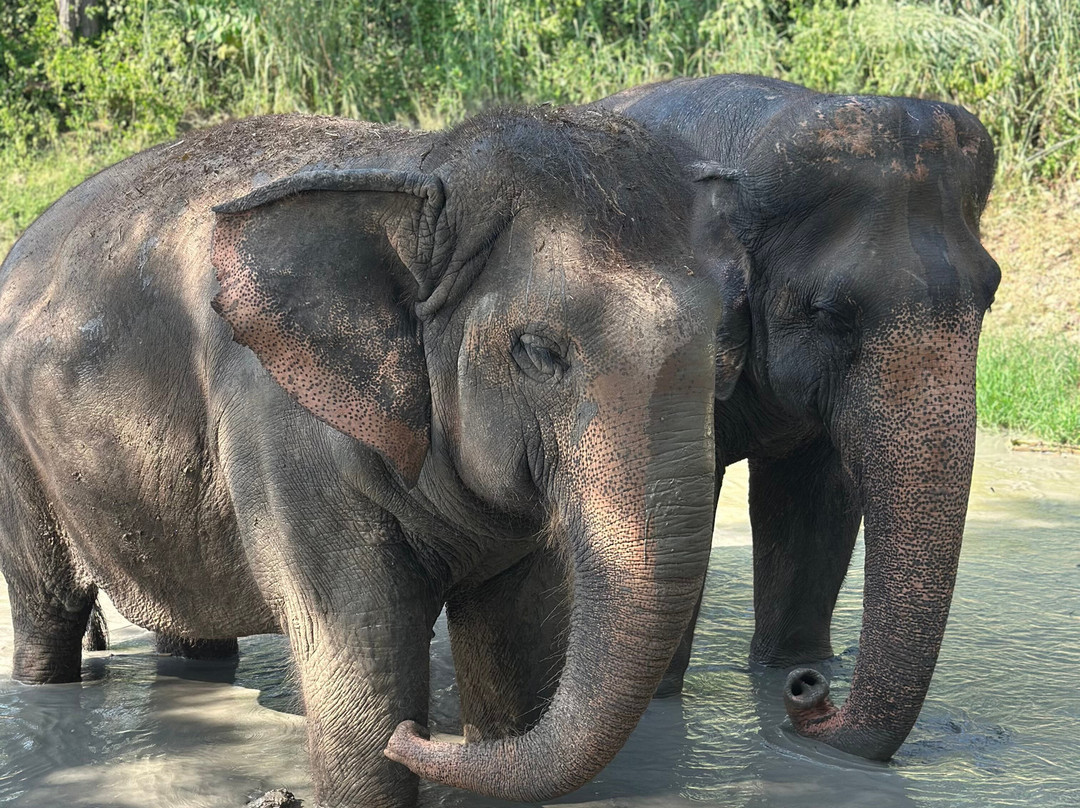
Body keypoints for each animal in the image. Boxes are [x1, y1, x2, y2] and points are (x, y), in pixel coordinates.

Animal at [0, 107, 746, 806]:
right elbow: (359, 640)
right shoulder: (282, 432)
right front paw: (383, 743)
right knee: (48, 607)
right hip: (17, 449)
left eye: (718, 341)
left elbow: (515, 639)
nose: (420, 735)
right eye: (539, 352)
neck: (427, 169)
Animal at [449, 75, 1001, 765]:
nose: (811, 693)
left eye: (991, 296)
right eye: (829, 313)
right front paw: (663, 700)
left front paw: (786, 665)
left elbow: (818, 500)